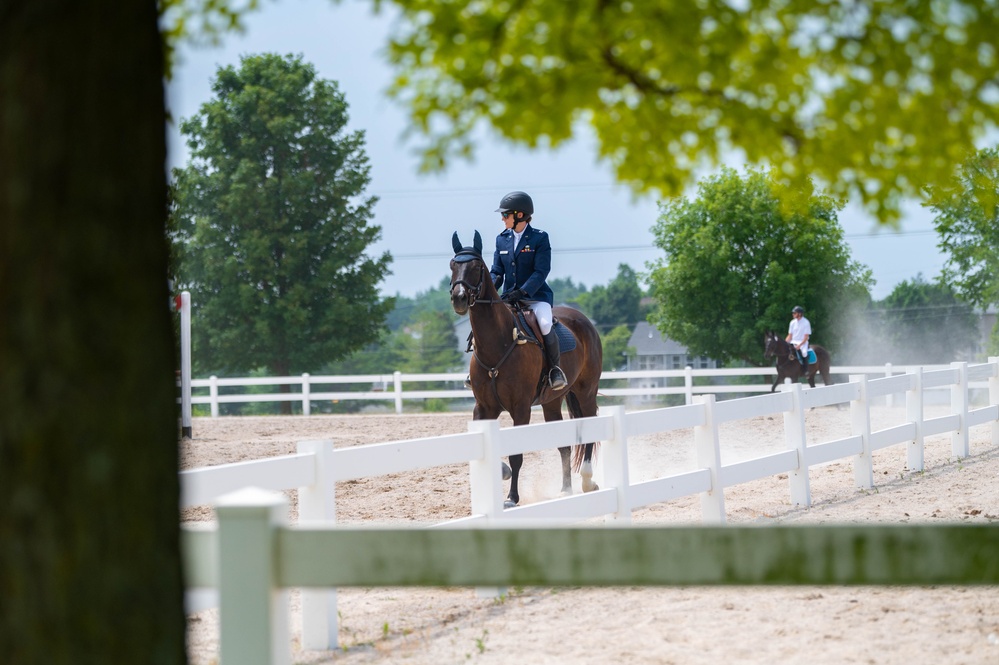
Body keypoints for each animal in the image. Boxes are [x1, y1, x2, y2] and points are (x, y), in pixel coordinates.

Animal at [452, 231, 604, 506]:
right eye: (452, 265)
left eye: (477, 266)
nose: (459, 298)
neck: (498, 343)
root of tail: (583, 320)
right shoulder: (483, 407)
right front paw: (501, 473)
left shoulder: (520, 408)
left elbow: (516, 455)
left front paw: (511, 497)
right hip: (552, 401)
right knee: (564, 445)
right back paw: (565, 489)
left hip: (586, 392)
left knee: (588, 432)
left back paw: (587, 481)